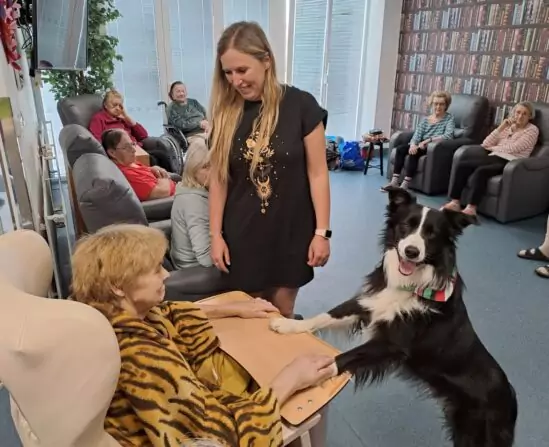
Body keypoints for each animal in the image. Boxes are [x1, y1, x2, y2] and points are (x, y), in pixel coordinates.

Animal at [270, 187, 517, 447]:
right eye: (406, 226)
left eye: (432, 234)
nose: (412, 251)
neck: (410, 285)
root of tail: (510, 397)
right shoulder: (368, 304)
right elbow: (327, 315)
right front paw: (286, 324)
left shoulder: (392, 344)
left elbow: (343, 357)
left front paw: (311, 373)